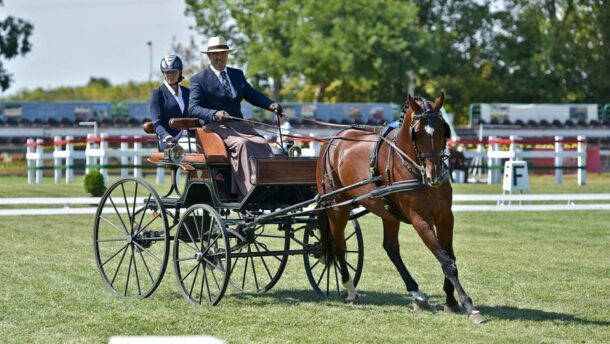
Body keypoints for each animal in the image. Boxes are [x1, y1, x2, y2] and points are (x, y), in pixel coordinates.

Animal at [318, 92, 484, 324]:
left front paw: (450, 300)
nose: (434, 176)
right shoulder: (420, 220)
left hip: (388, 213)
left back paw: (417, 295)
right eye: (417, 133)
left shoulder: (445, 217)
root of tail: (333, 139)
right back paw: (351, 290)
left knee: (391, 248)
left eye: (442, 130)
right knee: (339, 245)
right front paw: (470, 307)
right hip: (336, 207)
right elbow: (445, 260)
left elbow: (450, 257)